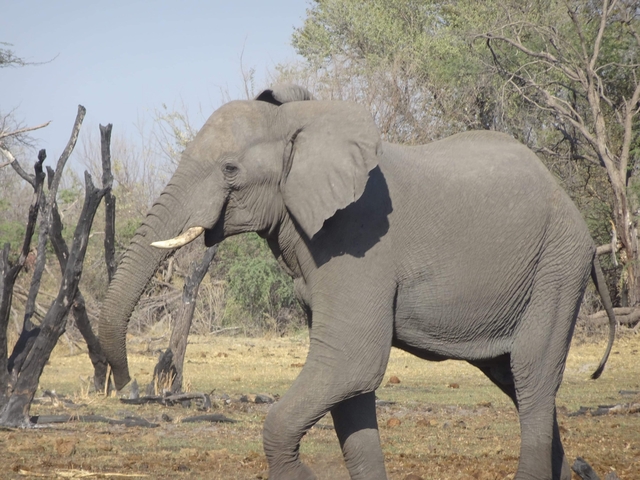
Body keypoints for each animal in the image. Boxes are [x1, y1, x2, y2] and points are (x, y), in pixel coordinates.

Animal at [98, 84, 616, 480]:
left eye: (230, 170)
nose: (130, 387)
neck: (302, 123)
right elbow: (350, 391)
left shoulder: (358, 244)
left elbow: (350, 365)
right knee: (519, 382)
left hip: (557, 266)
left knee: (532, 376)